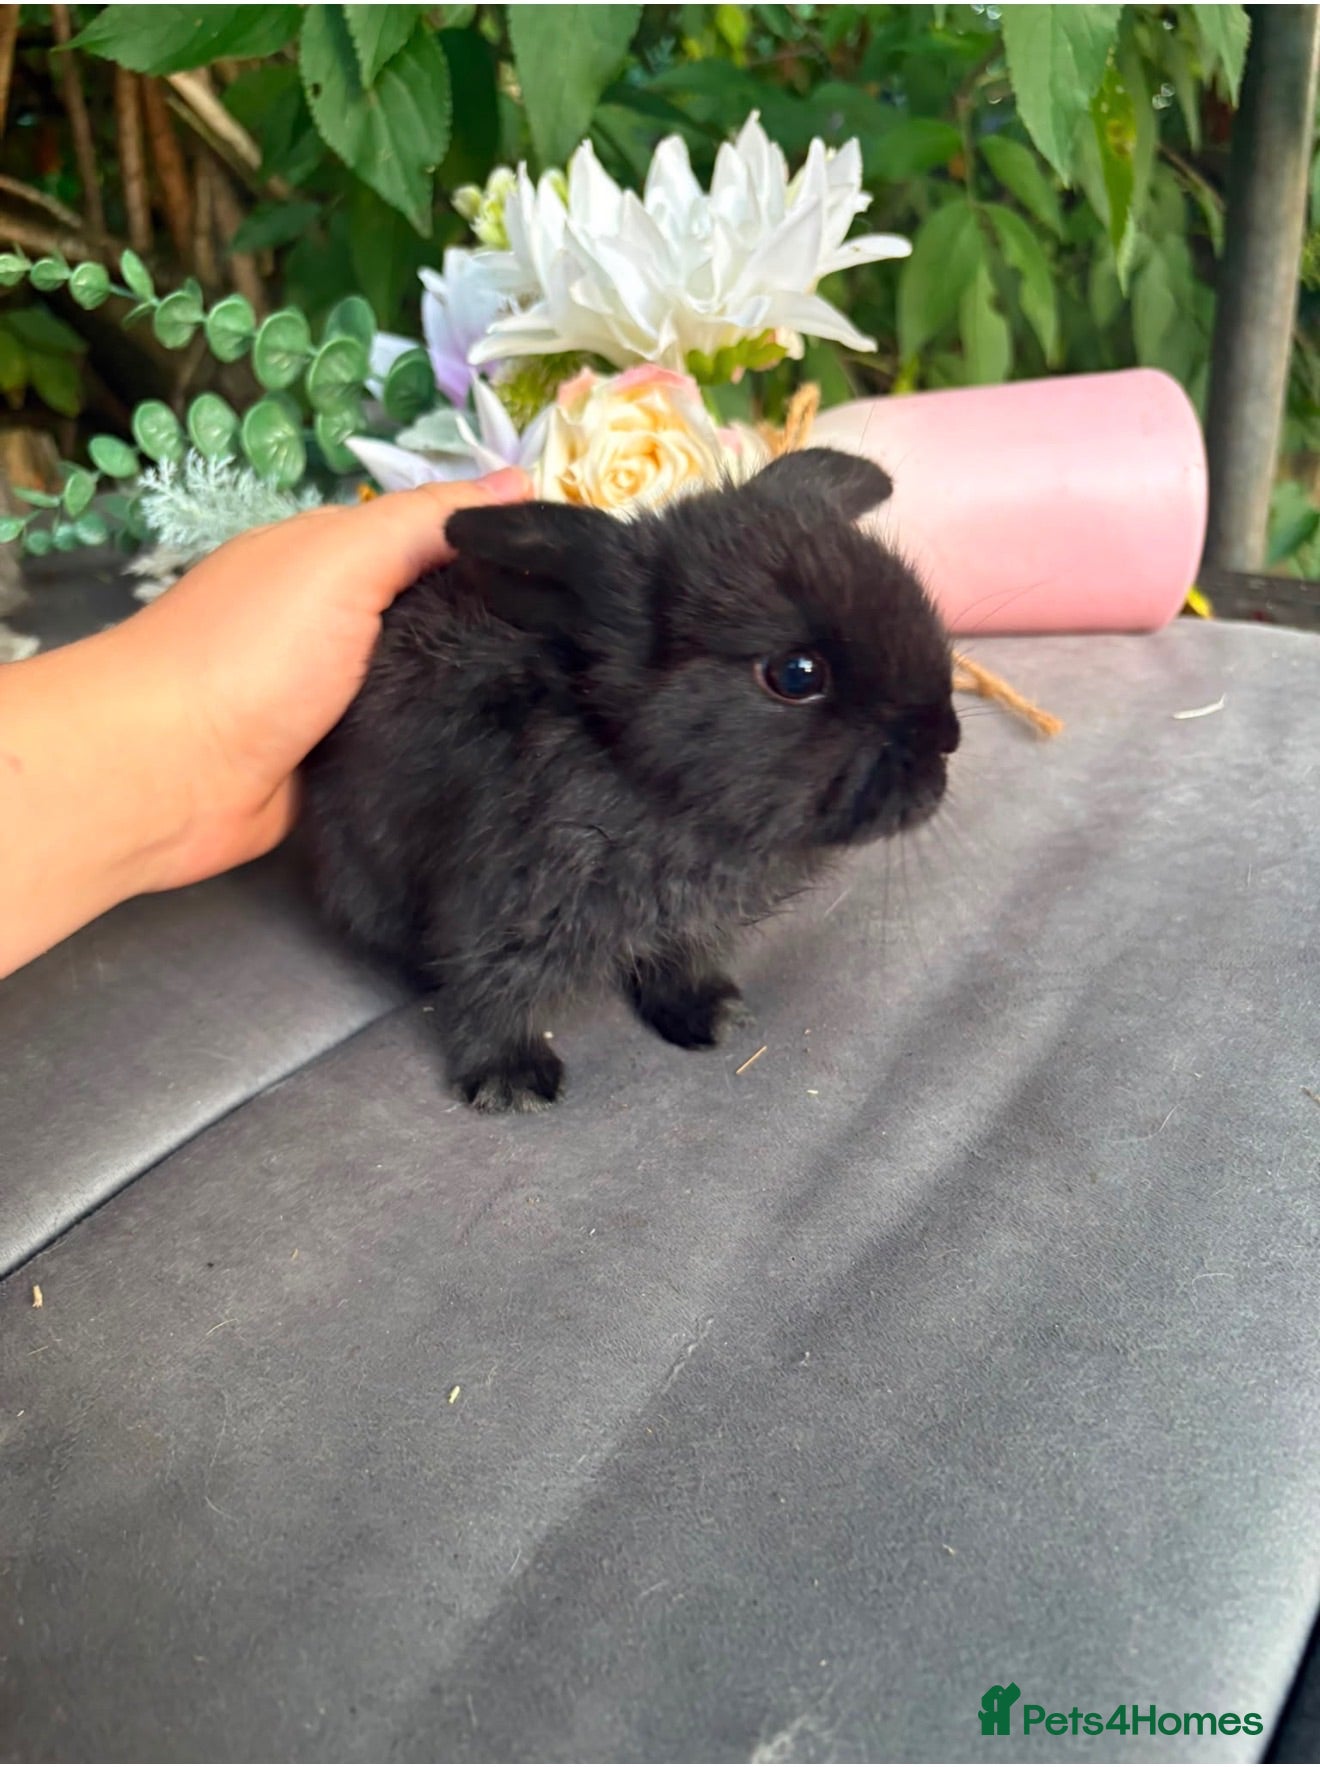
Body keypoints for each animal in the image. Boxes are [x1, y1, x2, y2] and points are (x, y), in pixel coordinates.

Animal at [300, 448, 960, 1113]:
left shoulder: (688, 928)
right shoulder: (497, 910)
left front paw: (712, 1017)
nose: (946, 740)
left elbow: (680, 966)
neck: (648, 783)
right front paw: (512, 1082)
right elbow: (490, 995)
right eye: (797, 675)